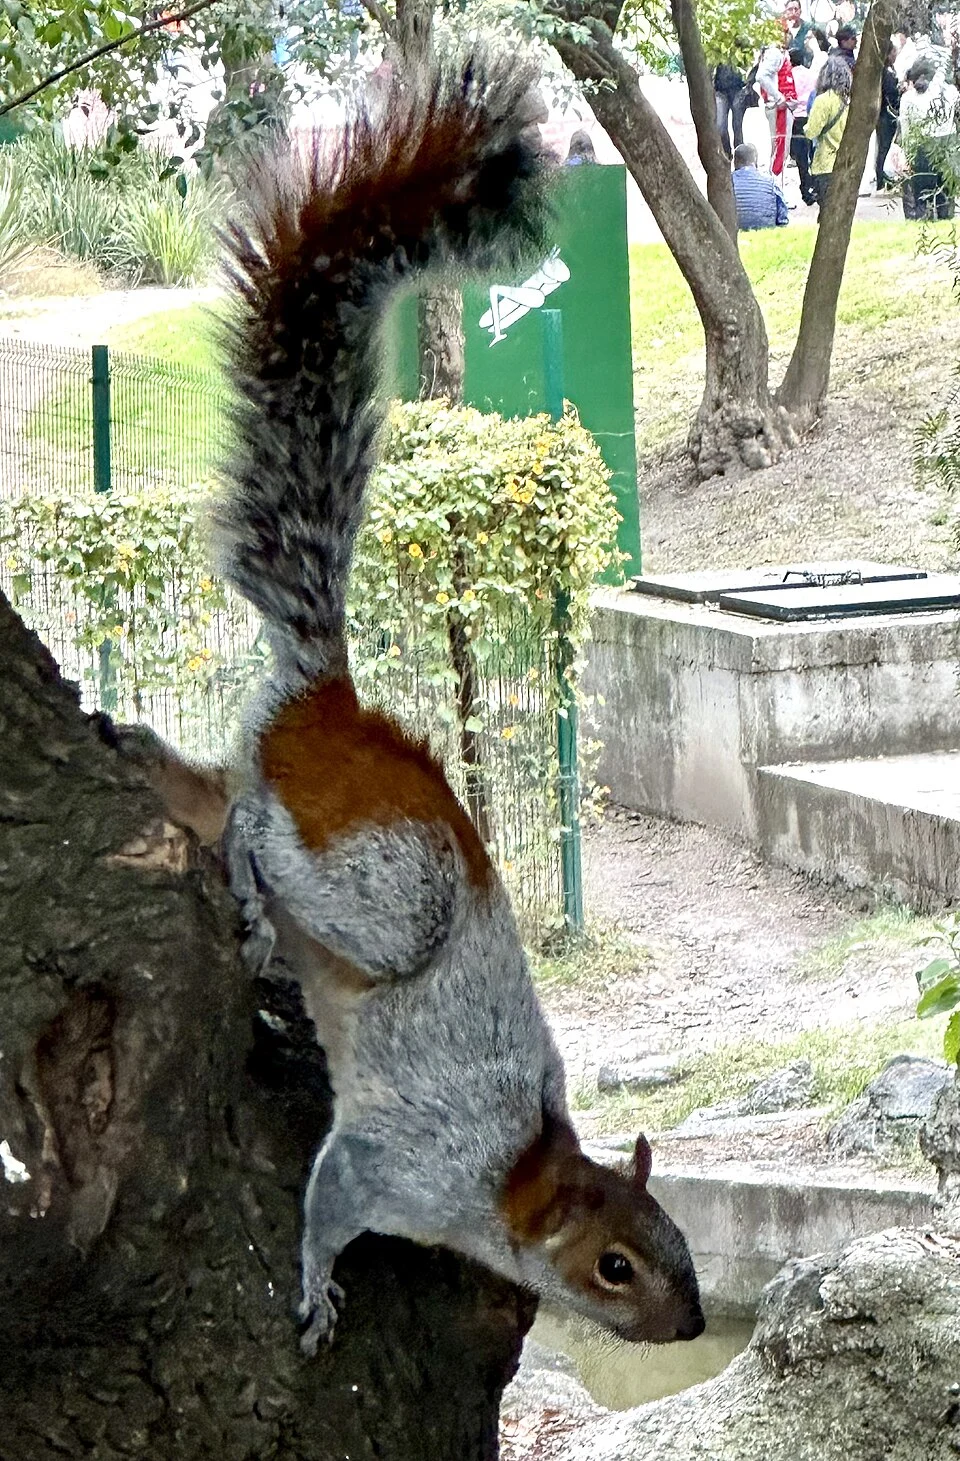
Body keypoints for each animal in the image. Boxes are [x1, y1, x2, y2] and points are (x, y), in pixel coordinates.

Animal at [140, 56, 704, 1355]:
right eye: (613, 1266)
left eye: (682, 1244)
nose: (695, 1323)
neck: (510, 1182)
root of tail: (332, 706)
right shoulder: (401, 1165)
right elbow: (332, 1204)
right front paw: (314, 1287)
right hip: (384, 896)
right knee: (262, 831)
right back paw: (250, 886)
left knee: (221, 775)